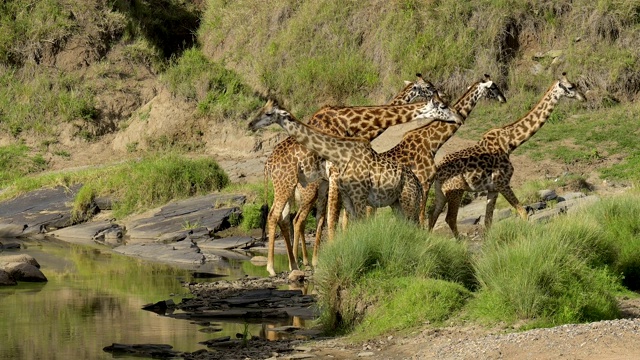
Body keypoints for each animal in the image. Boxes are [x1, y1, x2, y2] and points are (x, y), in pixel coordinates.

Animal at [260, 74, 440, 276]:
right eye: (428, 86)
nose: (439, 93)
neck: (352, 124)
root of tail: (267, 164)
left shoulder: (336, 181)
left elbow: (332, 218)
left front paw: (323, 258)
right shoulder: (337, 175)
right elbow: (335, 218)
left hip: (289, 188)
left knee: (286, 218)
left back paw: (294, 264)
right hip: (290, 186)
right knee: (279, 217)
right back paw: (273, 267)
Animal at [428, 72, 588, 238]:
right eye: (571, 87)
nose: (584, 97)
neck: (510, 143)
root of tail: (438, 172)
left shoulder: (493, 188)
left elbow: (488, 221)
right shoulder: (502, 183)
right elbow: (523, 212)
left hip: (441, 193)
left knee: (432, 217)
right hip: (456, 191)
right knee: (449, 218)